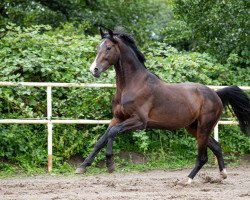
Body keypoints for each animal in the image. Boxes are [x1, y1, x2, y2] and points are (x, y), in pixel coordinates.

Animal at [76, 28, 250, 184]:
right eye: (98, 47)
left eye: (108, 48)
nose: (94, 70)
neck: (132, 85)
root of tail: (216, 94)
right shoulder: (117, 118)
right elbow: (101, 139)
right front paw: (82, 166)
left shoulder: (139, 122)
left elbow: (112, 133)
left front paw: (110, 164)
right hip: (194, 128)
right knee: (217, 147)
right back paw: (222, 175)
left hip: (204, 127)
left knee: (203, 157)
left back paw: (186, 180)